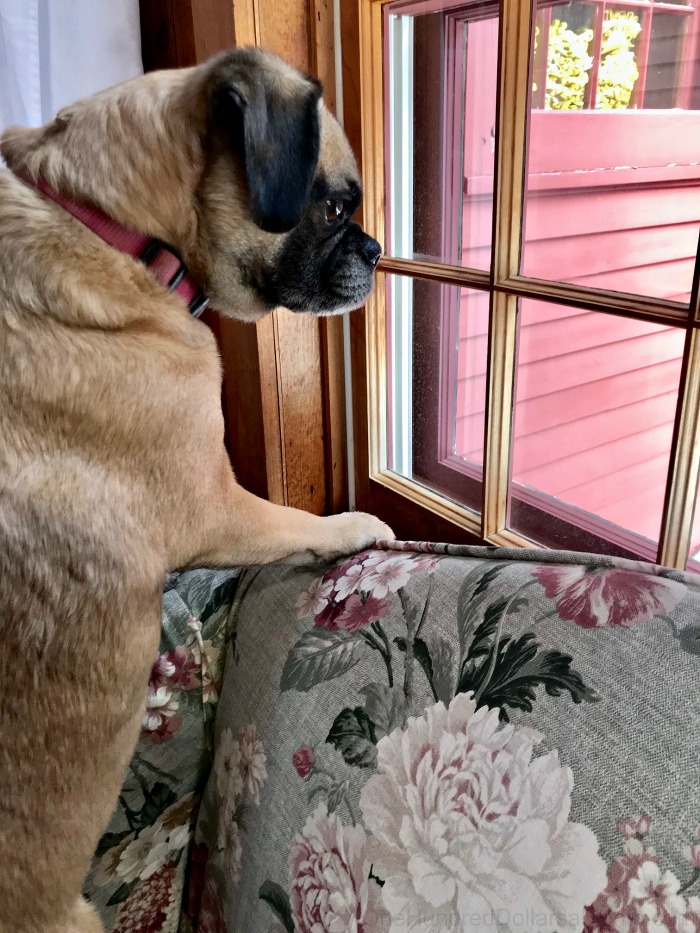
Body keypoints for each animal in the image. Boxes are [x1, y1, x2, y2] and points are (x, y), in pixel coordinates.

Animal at [0, 46, 393, 932]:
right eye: (332, 206)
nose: (378, 248)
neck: (111, 225)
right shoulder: (219, 504)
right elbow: (299, 520)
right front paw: (357, 525)